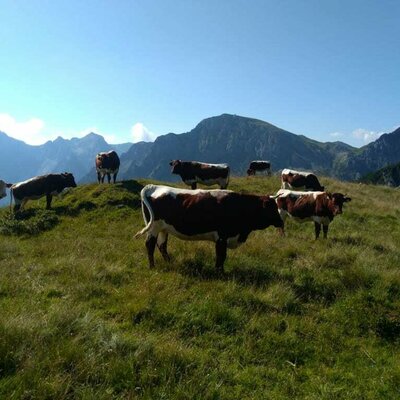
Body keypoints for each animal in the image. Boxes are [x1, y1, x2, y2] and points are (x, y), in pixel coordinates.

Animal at [134, 184, 282, 272]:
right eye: (272, 207)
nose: (281, 222)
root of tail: (153, 187)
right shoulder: (222, 237)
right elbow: (221, 256)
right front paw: (219, 272)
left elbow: (221, 256)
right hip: (153, 227)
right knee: (150, 244)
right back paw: (152, 267)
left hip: (163, 229)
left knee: (162, 245)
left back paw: (170, 263)